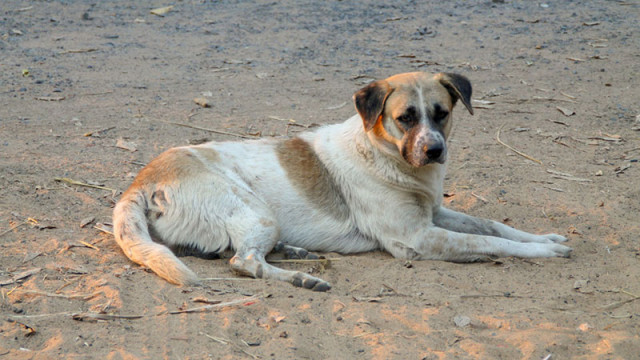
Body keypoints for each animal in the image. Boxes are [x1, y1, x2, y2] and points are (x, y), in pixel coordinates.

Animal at [112, 71, 572, 292]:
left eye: (441, 113)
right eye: (405, 117)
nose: (435, 150)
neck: (385, 155)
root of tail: (141, 181)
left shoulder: (436, 213)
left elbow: (493, 226)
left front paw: (546, 238)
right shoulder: (418, 238)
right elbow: (489, 241)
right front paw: (543, 252)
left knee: (233, 251)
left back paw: (295, 252)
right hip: (256, 211)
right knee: (242, 261)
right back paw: (301, 278)